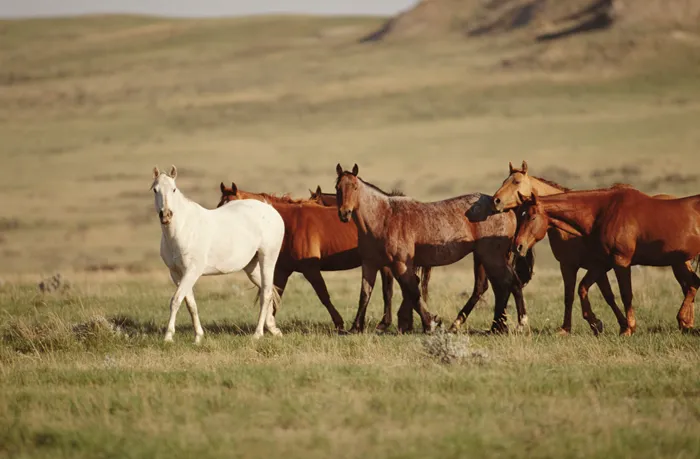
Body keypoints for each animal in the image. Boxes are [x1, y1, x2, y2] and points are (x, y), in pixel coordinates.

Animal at [151, 166, 285, 342]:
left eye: (174, 189)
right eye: (155, 190)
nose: (166, 215)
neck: (183, 230)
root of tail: (271, 210)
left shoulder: (192, 271)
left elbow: (176, 300)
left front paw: (168, 336)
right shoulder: (176, 274)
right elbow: (190, 304)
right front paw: (198, 337)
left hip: (267, 259)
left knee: (267, 293)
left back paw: (257, 334)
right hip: (252, 267)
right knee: (266, 290)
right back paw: (273, 329)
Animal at [219, 182, 423, 333]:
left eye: (231, 206)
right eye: (219, 205)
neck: (289, 224)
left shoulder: (310, 269)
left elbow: (323, 295)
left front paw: (339, 324)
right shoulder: (283, 270)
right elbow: (275, 295)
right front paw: (271, 326)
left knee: (395, 289)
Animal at [335, 164, 534, 333]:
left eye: (354, 187)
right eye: (337, 188)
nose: (344, 213)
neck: (384, 218)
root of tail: (504, 209)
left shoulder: (401, 264)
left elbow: (413, 293)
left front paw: (431, 323)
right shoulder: (369, 264)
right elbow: (365, 295)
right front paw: (355, 327)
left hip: (492, 258)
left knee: (506, 284)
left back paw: (512, 325)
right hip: (484, 258)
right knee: (499, 286)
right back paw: (496, 326)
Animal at [513, 187, 700, 335]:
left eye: (531, 217)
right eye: (519, 216)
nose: (518, 246)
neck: (604, 212)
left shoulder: (620, 262)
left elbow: (626, 294)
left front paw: (628, 328)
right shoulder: (601, 264)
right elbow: (584, 288)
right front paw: (596, 323)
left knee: (691, 285)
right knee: (693, 284)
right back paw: (684, 321)